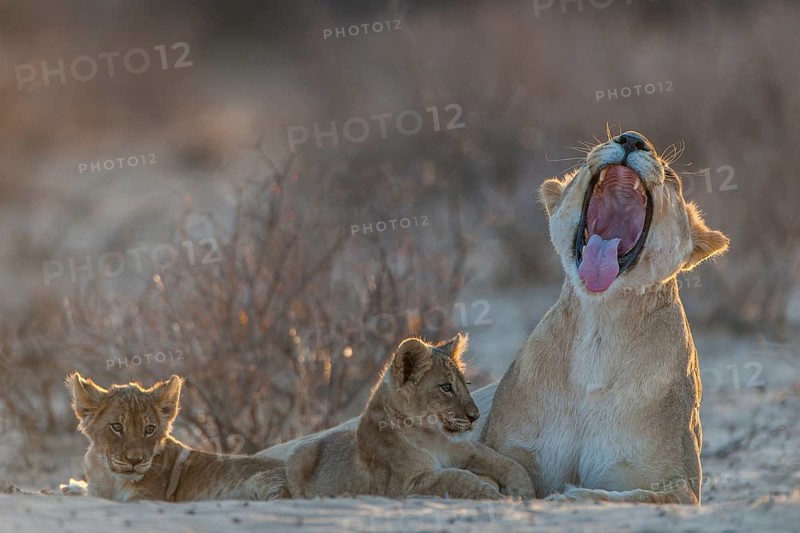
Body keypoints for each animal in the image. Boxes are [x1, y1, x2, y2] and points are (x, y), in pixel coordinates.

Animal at [65, 372, 289, 502]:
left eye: (149, 429)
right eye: (117, 426)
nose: (135, 460)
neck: (110, 477)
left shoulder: (146, 498)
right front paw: (71, 487)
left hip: (265, 482)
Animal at [285, 334, 535, 500]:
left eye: (467, 384)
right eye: (446, 387)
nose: (476, 416)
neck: (430, 434)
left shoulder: (468, 450)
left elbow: (506, 463)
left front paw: (525, 491)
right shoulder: (405, 485)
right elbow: (455, 477)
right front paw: (494, 495)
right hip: (298, 455)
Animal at [478, 130, 729, 505]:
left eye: (671, 177)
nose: (632, 139)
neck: (598, 329)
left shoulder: (679, 484)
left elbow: (627, 495)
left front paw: (569, 496)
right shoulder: (503, 447)